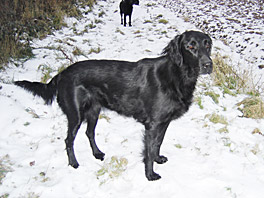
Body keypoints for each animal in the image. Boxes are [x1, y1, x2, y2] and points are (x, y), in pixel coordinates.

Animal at [13, 31, 212, 181]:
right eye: (190, 46)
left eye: (207, 44)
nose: (208, 65)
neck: (177, 75)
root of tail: (62, 73)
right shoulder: (153, 124)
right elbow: (148, 150)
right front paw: (150, 175)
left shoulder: (163, 122)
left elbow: (157, 143)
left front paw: (158, 159)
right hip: (75, 114)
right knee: (69, 140)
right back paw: (74, 163)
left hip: (94, 111)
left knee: (89, 133)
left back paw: (97, 153)